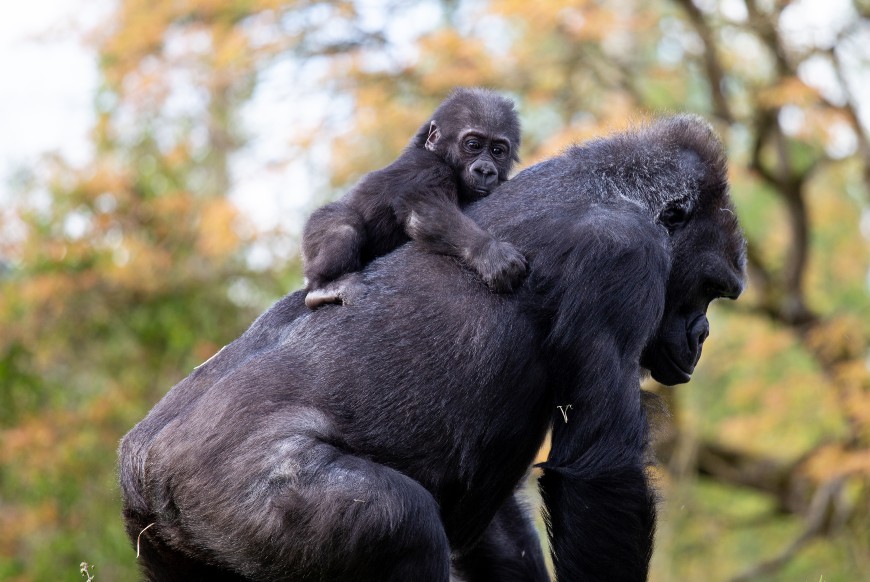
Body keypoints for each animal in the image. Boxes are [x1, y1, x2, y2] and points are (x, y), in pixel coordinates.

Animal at [121, 115, 748, 582]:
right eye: (712, 289)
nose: (702, 335)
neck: (621, 192)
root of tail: (146, 470)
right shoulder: (624, 262)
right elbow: (600, 472)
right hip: (236, 498)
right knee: (405, 525)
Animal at [304, 88, 528, 310]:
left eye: (497, 151)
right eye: (473, 145)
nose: (485, 170)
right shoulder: (429, 168)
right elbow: (426, 212)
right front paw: (490, 252)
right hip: (314, 229)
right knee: (343, 226)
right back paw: (324, 286)